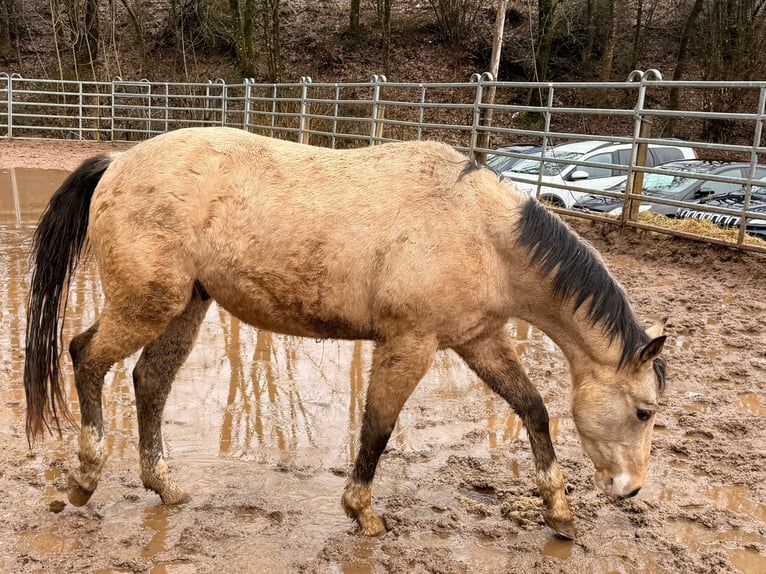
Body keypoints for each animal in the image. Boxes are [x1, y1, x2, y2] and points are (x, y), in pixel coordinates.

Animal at [24, 127, 667, 540]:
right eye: (644, 412)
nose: (634, 489)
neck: (480, 232)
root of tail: (118, 162)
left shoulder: (479, 341)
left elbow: (532, 408)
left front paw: (559, 513)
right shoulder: (410, 345)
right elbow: (377, 429)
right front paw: (363, 514)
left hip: (185, 306)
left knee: (149, 381)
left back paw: (167, 488)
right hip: (146, 305)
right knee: (85, 356)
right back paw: (84, 479)